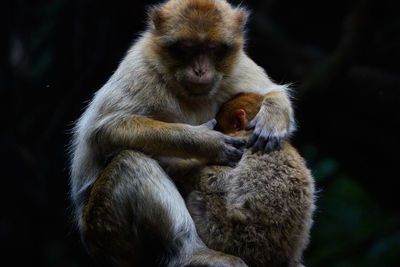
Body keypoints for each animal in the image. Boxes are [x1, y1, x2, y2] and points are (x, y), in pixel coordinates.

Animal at [70, 0, 294, 266]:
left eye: (213, 48)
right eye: (187, 48)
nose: (200, 70)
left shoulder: (238, 67)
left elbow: (273, 91)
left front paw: (273, 118)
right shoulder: (140, 69)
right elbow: (105, 131)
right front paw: (207, 142)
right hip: (103, 228)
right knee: (129, 161)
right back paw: (191, 252)